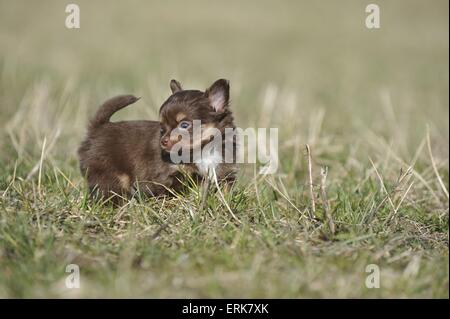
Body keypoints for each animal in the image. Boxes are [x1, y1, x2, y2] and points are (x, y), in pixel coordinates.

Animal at [78, 79, 237, 201]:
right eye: (162, 128)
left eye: (184, 125)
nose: (163, 141)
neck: (202, 149)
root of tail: (98, 127)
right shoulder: (168, 175)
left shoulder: (224, 173)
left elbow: (224, 190)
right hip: (109, 173)